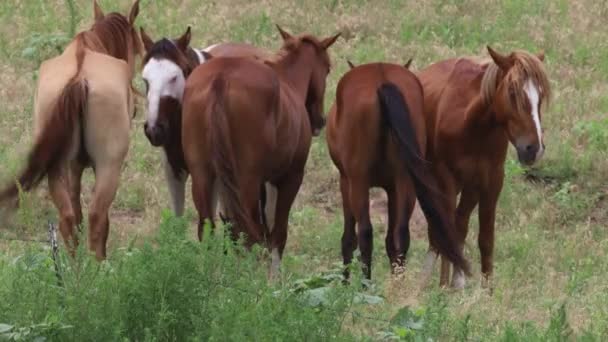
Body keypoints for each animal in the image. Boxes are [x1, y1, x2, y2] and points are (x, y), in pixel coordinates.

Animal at [0, 0, 144, 260]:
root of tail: (79, 76)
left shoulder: (73, 166)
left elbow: (76, 213)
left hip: (56, 166)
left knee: (68, 218)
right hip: (108, 167)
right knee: (97, 217)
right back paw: (98, 267)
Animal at [180, 26, 342, 276]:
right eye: (328, 68)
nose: (319, 122)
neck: (287, 79)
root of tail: (221, 78)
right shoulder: (289, 178)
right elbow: (277, 233)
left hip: (203, 177)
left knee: (210, 229)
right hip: (245, 182)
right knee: (247, 231)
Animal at [328, 62, 470, 280]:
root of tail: (382, 80)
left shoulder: (346, 181)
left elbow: (349, 238)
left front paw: (344, 281)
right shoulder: (393, 188)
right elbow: (390, 240)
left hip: (359, 181)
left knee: (365, 232)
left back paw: (365, 284)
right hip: (405, 181)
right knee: (401, 234)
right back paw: (398, 282)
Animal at [418, 46, 552, 288]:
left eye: (541, 95)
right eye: (512, 91)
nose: (534, 149)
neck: (471, 122)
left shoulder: (491, 179)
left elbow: (485, 239)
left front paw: (486, 290)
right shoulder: (445, 178)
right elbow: (446, 232)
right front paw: (442, 287)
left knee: (457, 225)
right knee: (439, 230)